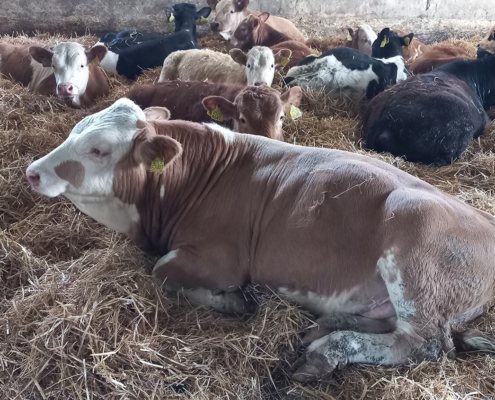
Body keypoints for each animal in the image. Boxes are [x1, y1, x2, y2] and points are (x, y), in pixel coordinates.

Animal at [25, 98, 495, 382]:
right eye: (74, 130)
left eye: (99, 150)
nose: (32, 171)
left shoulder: (220, 260)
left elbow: (161, 271)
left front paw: (232, 301)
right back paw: (324, 327)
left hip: (414, 250)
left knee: (423, 344)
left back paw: (325, 351)